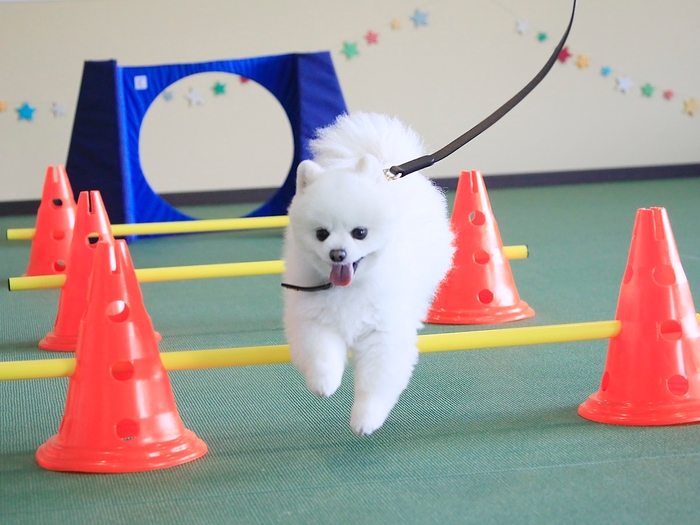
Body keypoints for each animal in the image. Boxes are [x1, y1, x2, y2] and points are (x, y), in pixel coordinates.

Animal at [284, 112, 454, 436]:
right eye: (321, 234)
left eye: (359, 233)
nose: (338, 254)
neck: (350, 288)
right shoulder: (315, 319)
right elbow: (321, 354)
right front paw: (325, 383)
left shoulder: (383, 333)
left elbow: (375, 384)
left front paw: (366, 419)